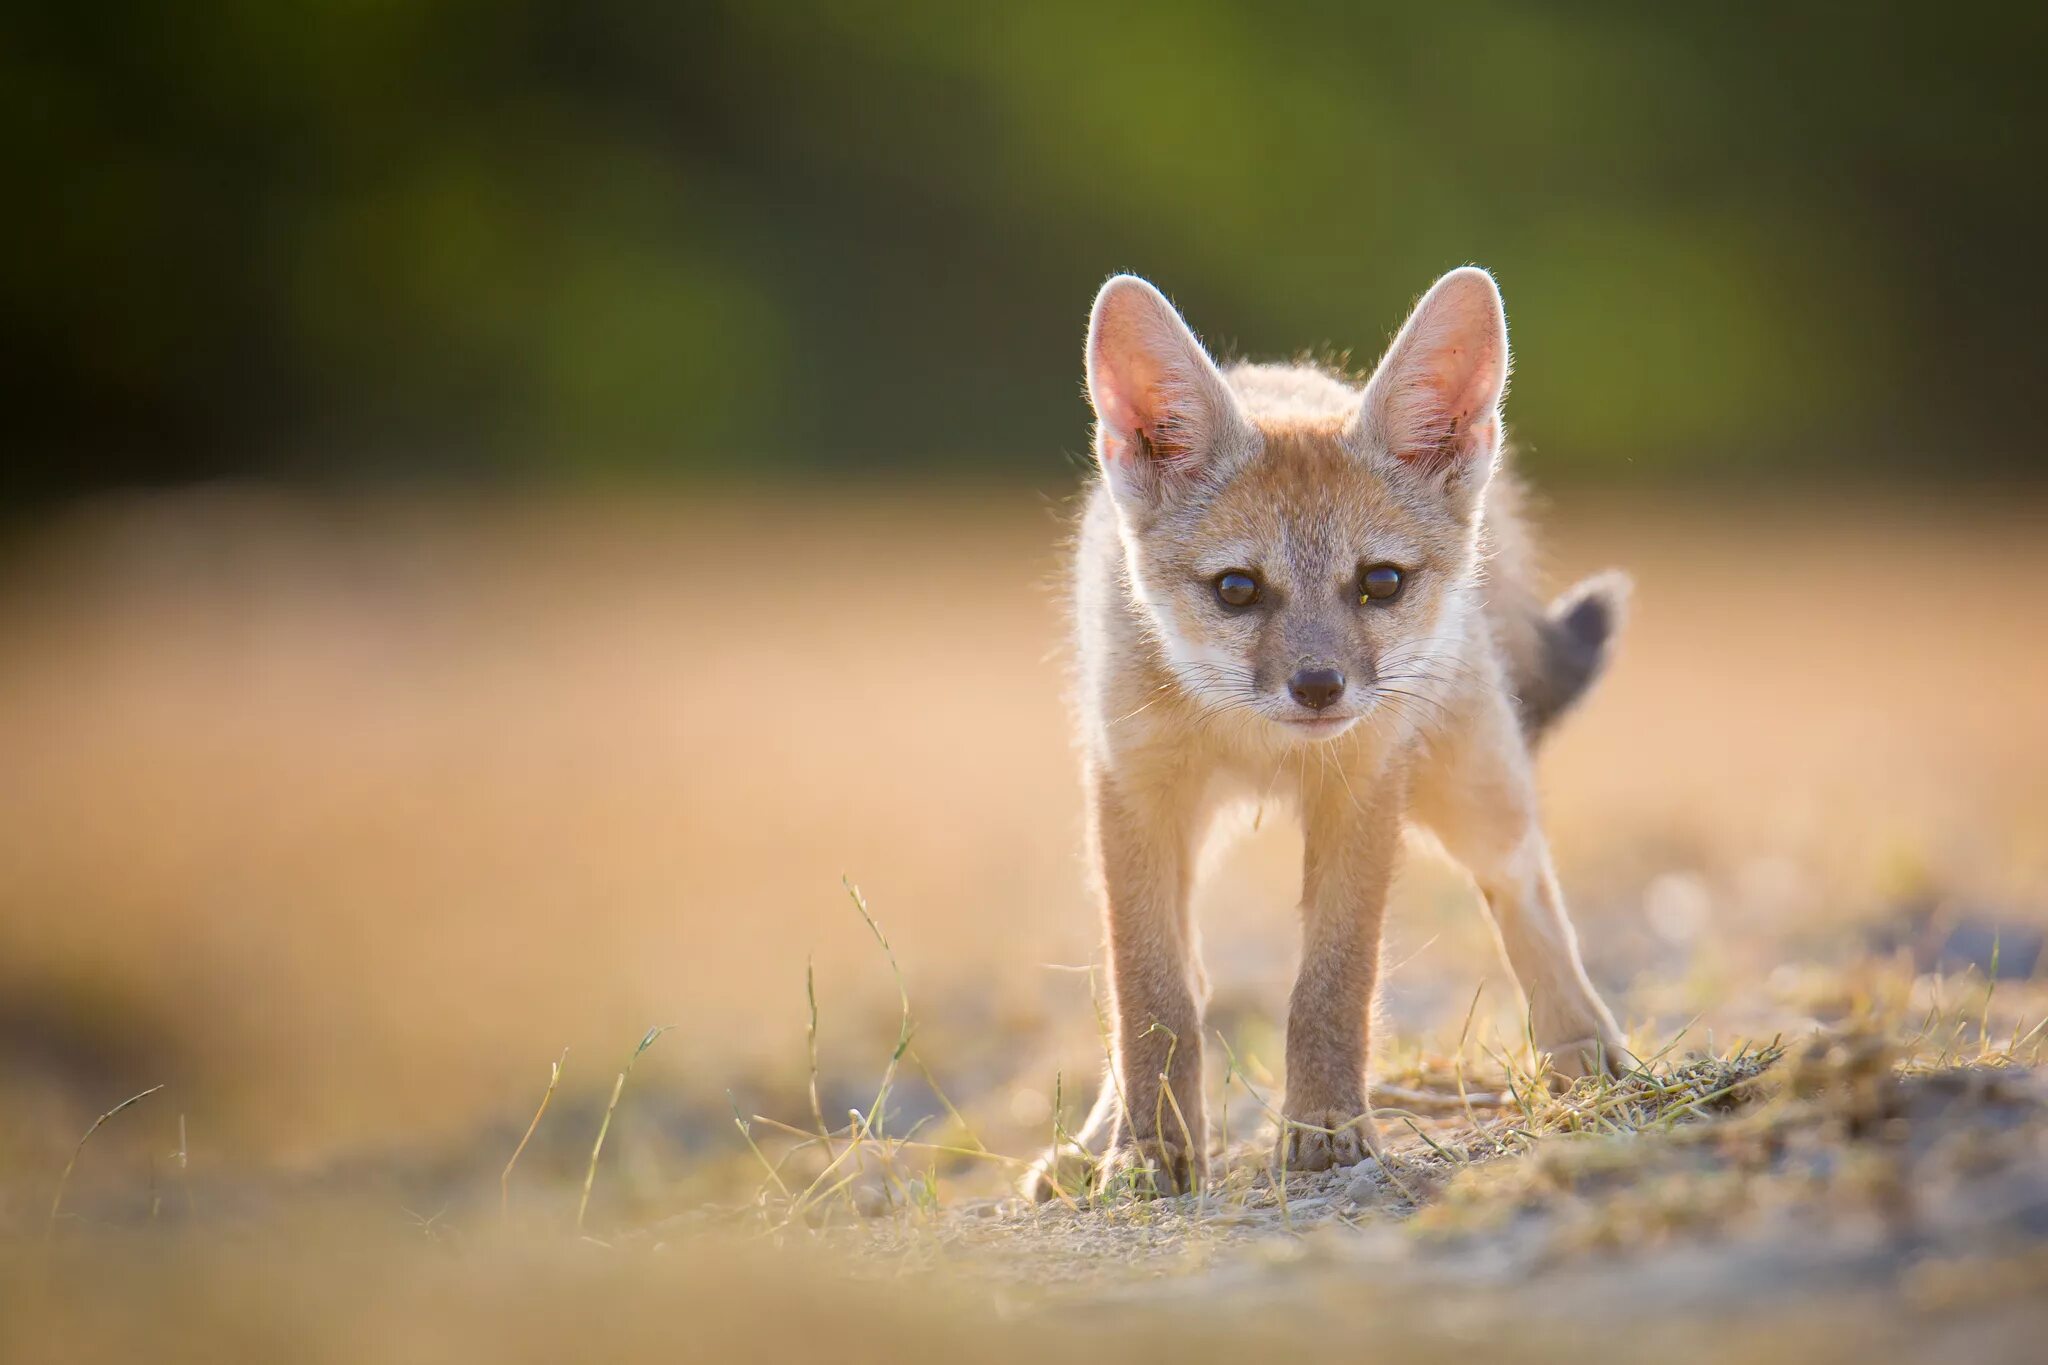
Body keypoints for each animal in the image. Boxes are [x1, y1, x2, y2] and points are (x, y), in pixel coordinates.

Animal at [1032, 270, 1638, 1203]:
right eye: (1237, 588)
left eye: (1379, 582)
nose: (1318, 686)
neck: (1262, 746)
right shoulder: (1133, 793)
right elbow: (1152, 999)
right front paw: (1146, 1150)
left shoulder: (1364, 790)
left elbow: (1332, 983)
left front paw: (1325, 1126)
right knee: (1189, 974)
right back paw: (1091, 1142)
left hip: (1474, 791)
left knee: (1528, 887)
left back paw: (1585, 1052)